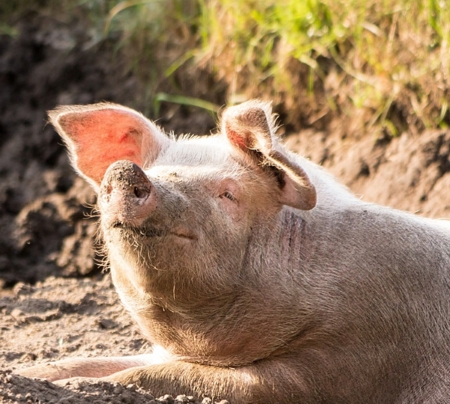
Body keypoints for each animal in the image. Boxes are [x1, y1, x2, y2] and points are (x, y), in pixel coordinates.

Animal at [17, 100, 450, 403]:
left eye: (228, 193)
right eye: (154, 171)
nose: (125, 171)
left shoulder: (345, 362)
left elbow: (156, 377)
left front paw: (82, 385)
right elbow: (81, 362)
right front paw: (26, 373)